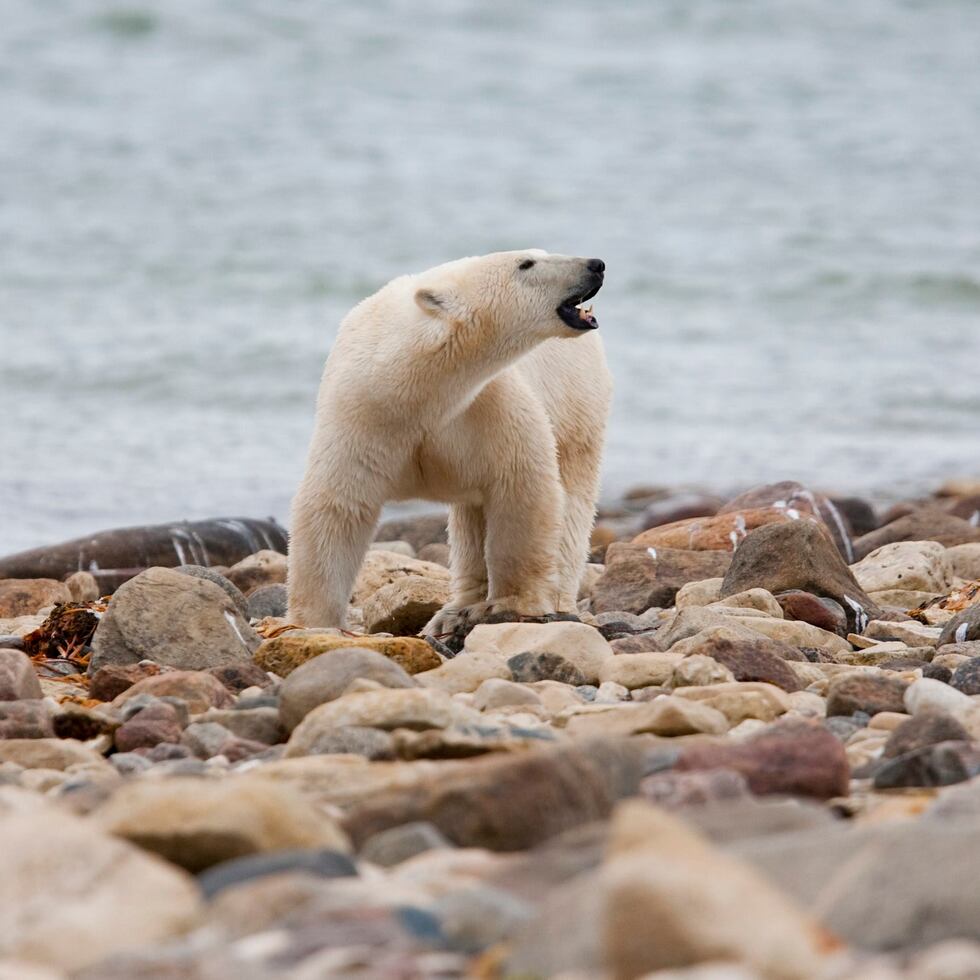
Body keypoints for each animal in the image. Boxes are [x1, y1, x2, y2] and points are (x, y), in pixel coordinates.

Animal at [288, 249, 612, 632]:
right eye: (526, 263)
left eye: (541, 254)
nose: (595, 264)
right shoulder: (362, 416)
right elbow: (338, 506)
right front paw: (313, 622)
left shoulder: (487, 408)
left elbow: (521, 488)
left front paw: (511, 602)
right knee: (470, 519)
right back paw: (454, 611)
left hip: (577, 408)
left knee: (572, 502)